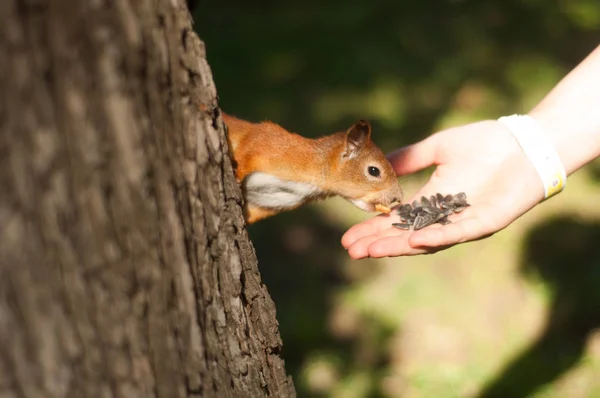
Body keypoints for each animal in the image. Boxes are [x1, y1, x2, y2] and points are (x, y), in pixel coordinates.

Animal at [223, 111, 406, 224]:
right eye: (374, 171)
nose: (397, 197)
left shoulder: (267, 205)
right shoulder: (266, 141)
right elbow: (247, 151)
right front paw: (237, 174)